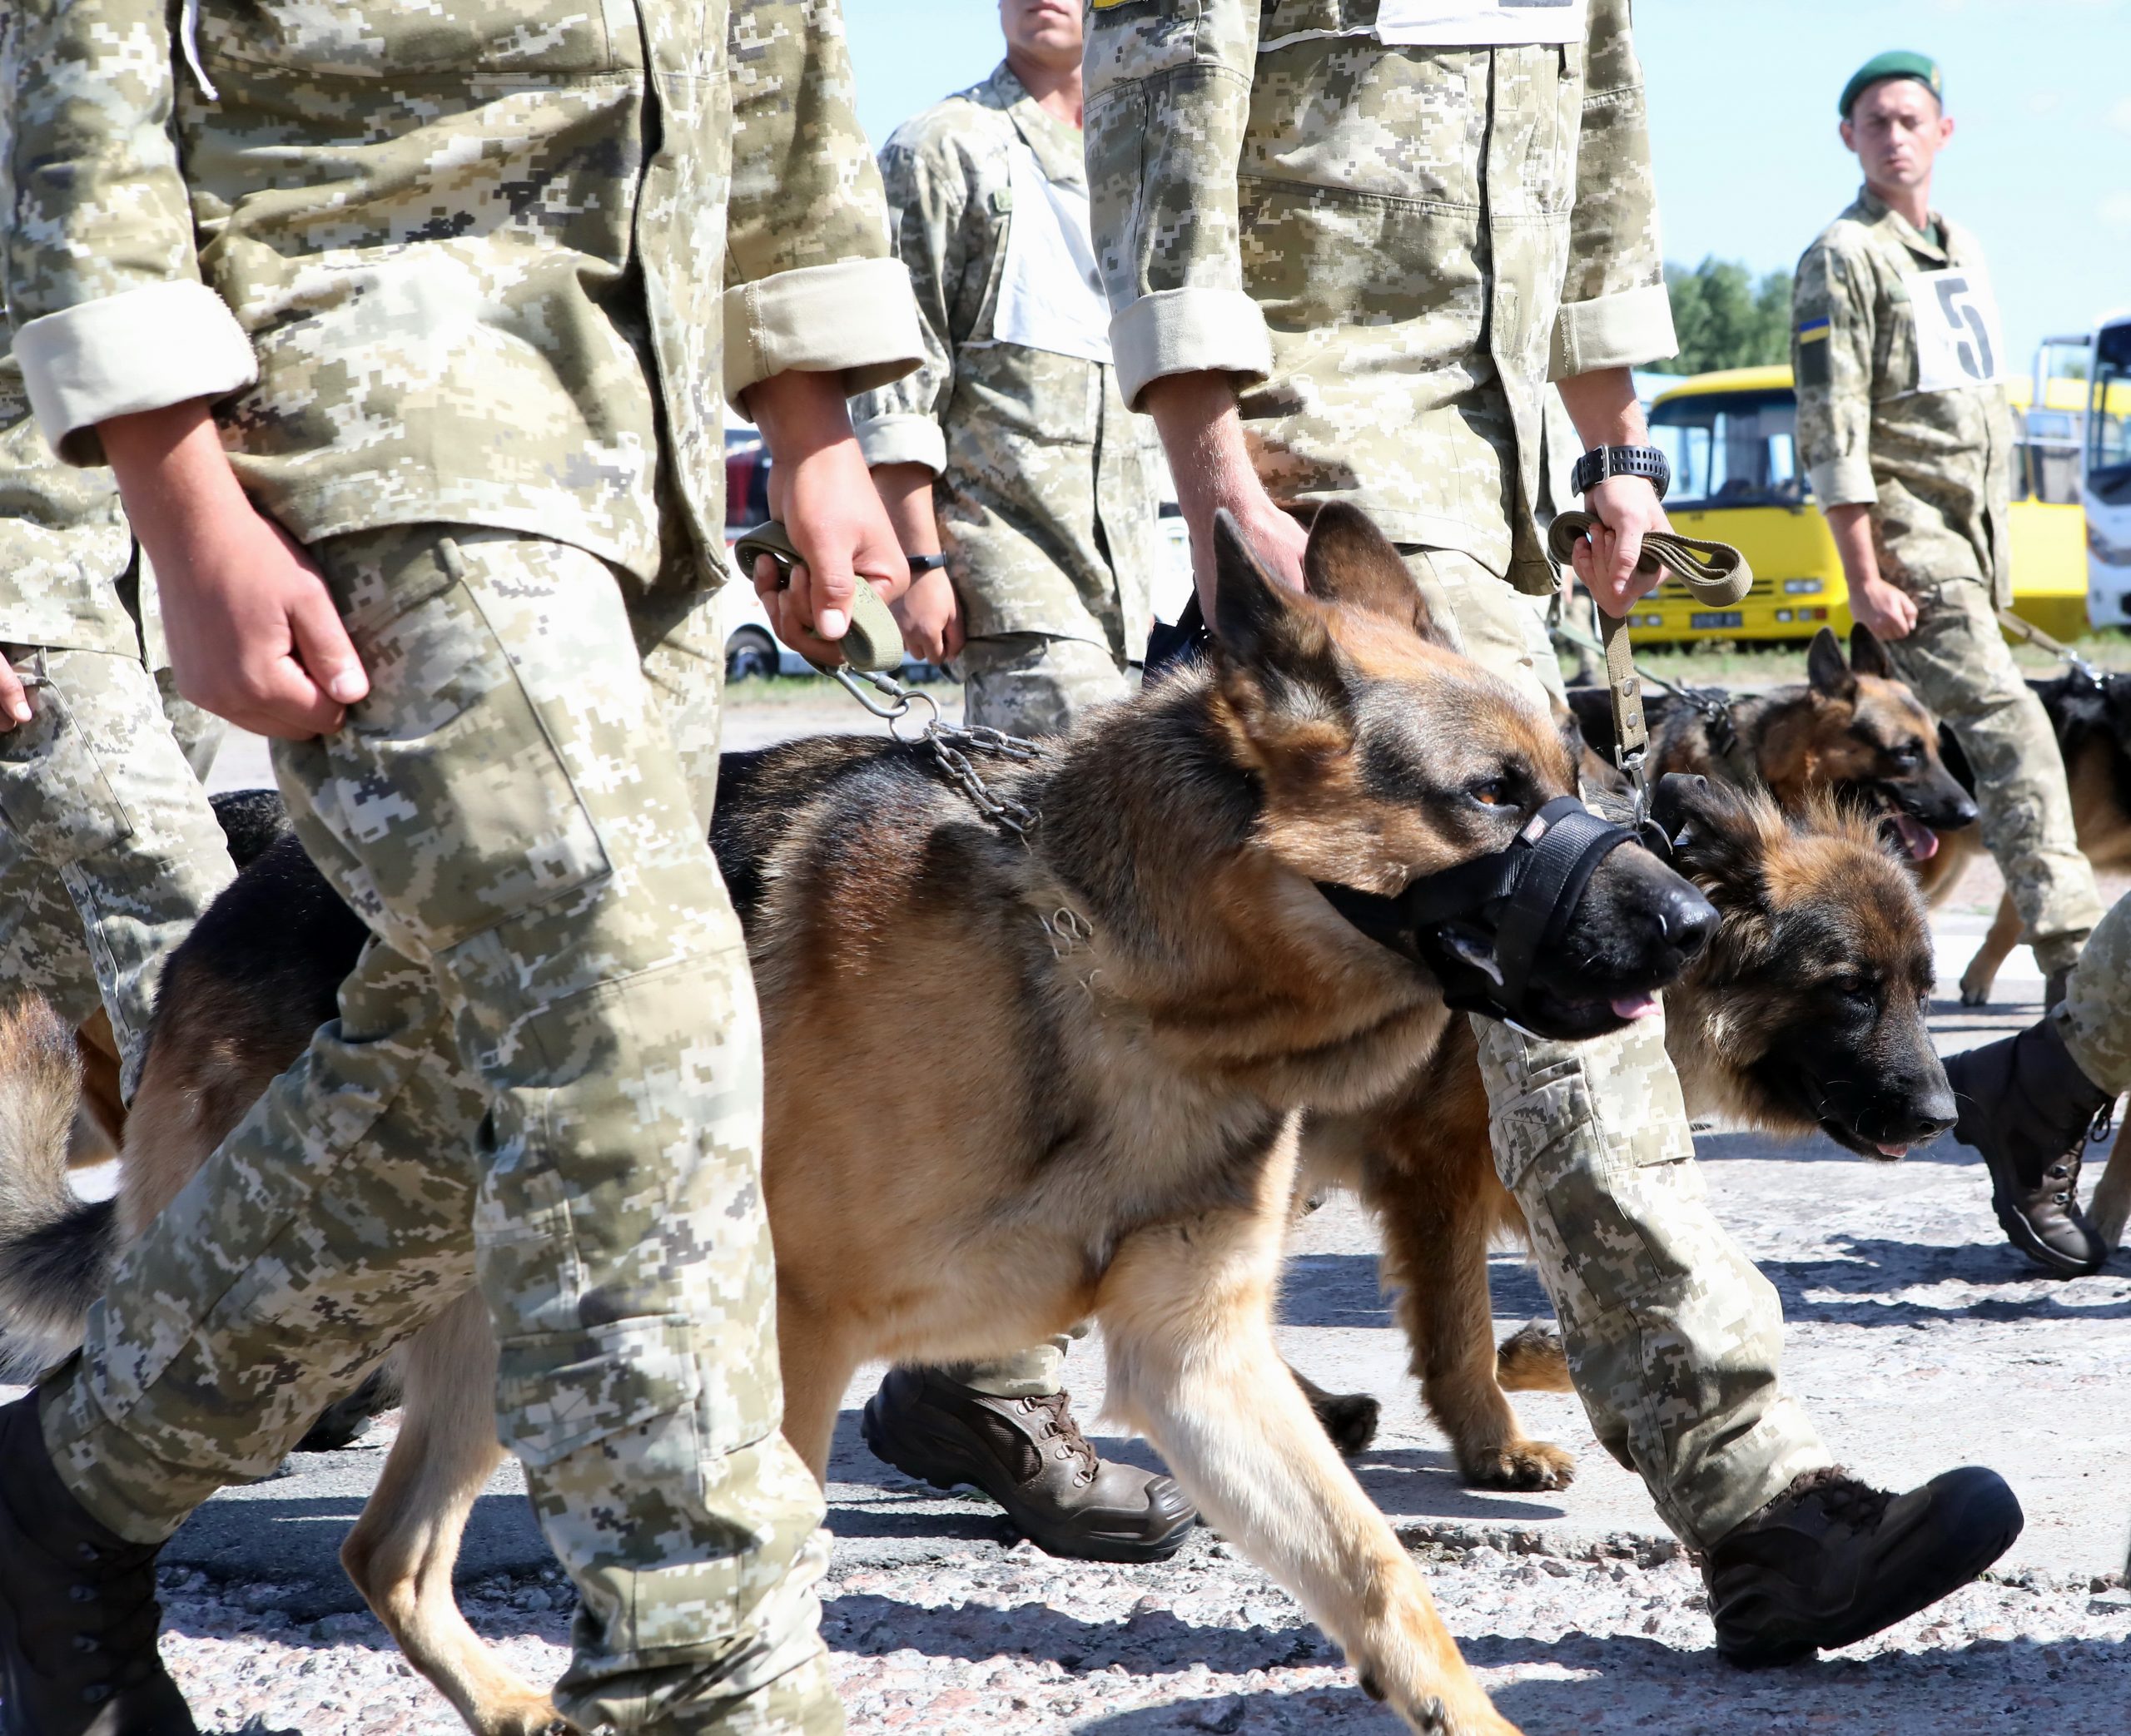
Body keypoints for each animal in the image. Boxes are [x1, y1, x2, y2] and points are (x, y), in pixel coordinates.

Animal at [0, 508, 1730, 1736]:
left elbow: (1380, 1574)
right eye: (1493, 796)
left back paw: (503, 1699)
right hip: (366, 1298)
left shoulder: (1199, 1364)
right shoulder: (796, 1337)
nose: (1700, 921)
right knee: (137, 1401)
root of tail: (244, 892)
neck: (1117, 973)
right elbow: (771, 1580)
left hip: (507, 1326)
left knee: (387, 1551)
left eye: (1580, 769)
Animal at [1287, 779, 1951, 1490]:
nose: (1943, 1118)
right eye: (1851, 988)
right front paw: (1496, 1447)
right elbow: (1461, 1331)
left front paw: (1535, 1357)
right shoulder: (1442, 1169)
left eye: (1924, 993)